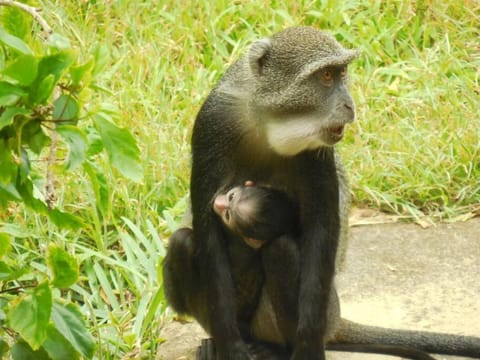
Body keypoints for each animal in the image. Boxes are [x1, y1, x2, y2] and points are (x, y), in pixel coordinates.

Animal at [163, 26, 480, 358]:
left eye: (342, 74)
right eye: (326, 76)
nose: (349, 105)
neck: (264, 122)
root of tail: (337, 318)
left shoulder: (317, 153)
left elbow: (321, 230)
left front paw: (308, 348)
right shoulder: (212, 123)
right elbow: (208, 232)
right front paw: (230, 348)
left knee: (282, 250)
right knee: (183, 242)